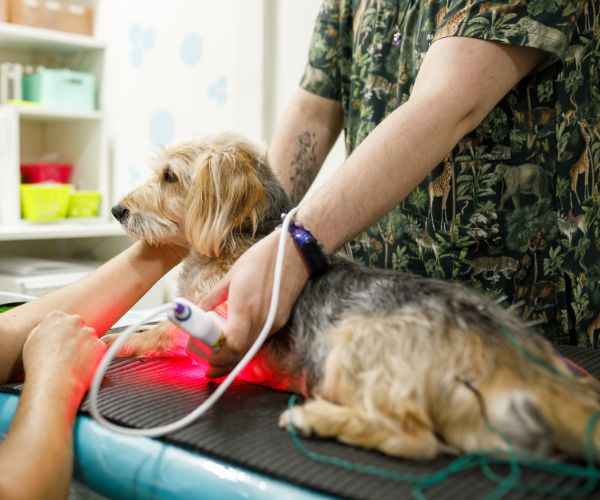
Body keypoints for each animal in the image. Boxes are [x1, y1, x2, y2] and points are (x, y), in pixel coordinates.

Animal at [109, 132, 600, 460]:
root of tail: (510, 351)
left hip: (351, 349)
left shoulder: (215, 319)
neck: (241, 238)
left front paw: (118, 342)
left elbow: (160, 333)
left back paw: (316, 418)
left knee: (416, 440)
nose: (117, 210)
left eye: (170, 177)